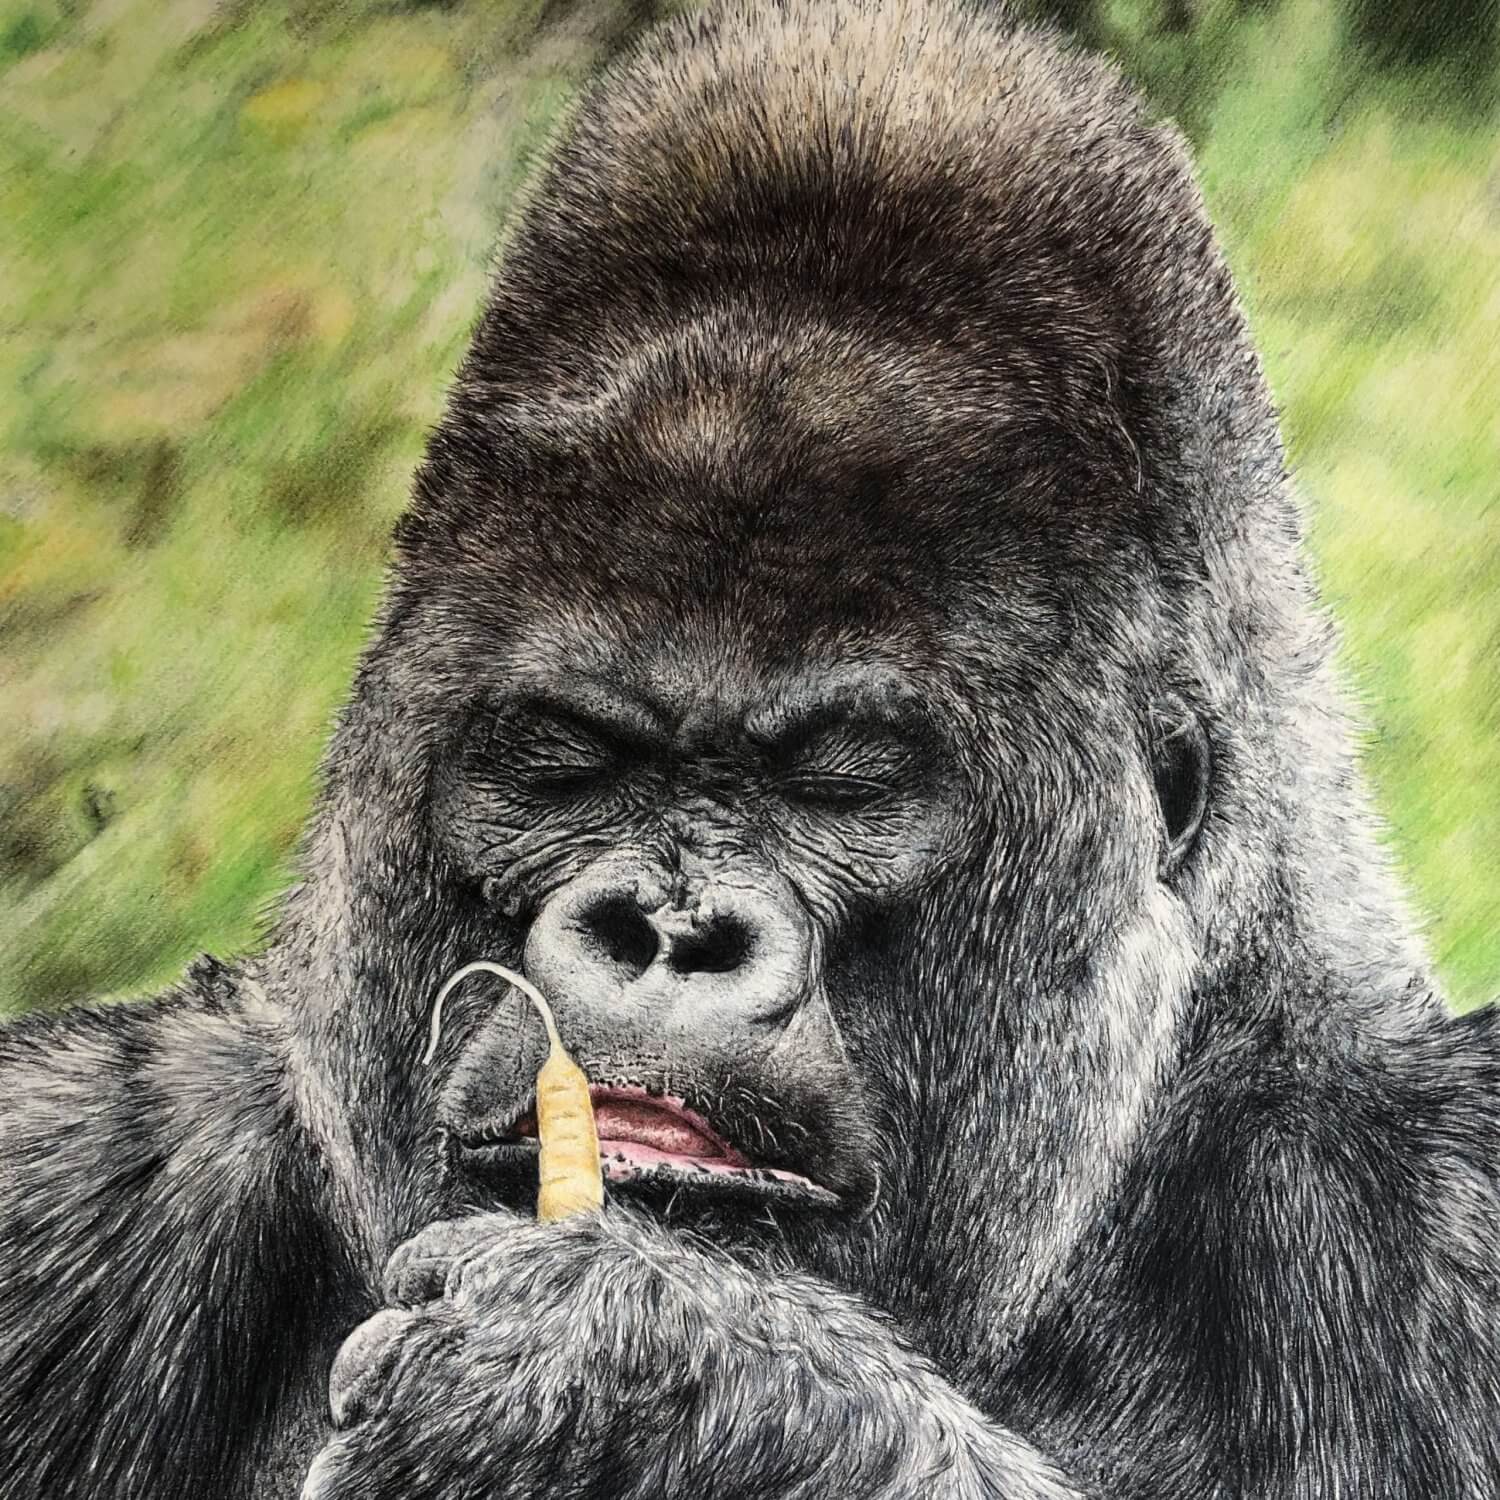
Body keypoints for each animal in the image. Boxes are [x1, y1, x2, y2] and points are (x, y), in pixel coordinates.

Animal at [3, 1, 1498, 1496]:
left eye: (837, 785)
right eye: (573, 762)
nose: (668, 934)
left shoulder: (1444, 1183)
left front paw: (639, 1385)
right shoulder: (66, 1149)